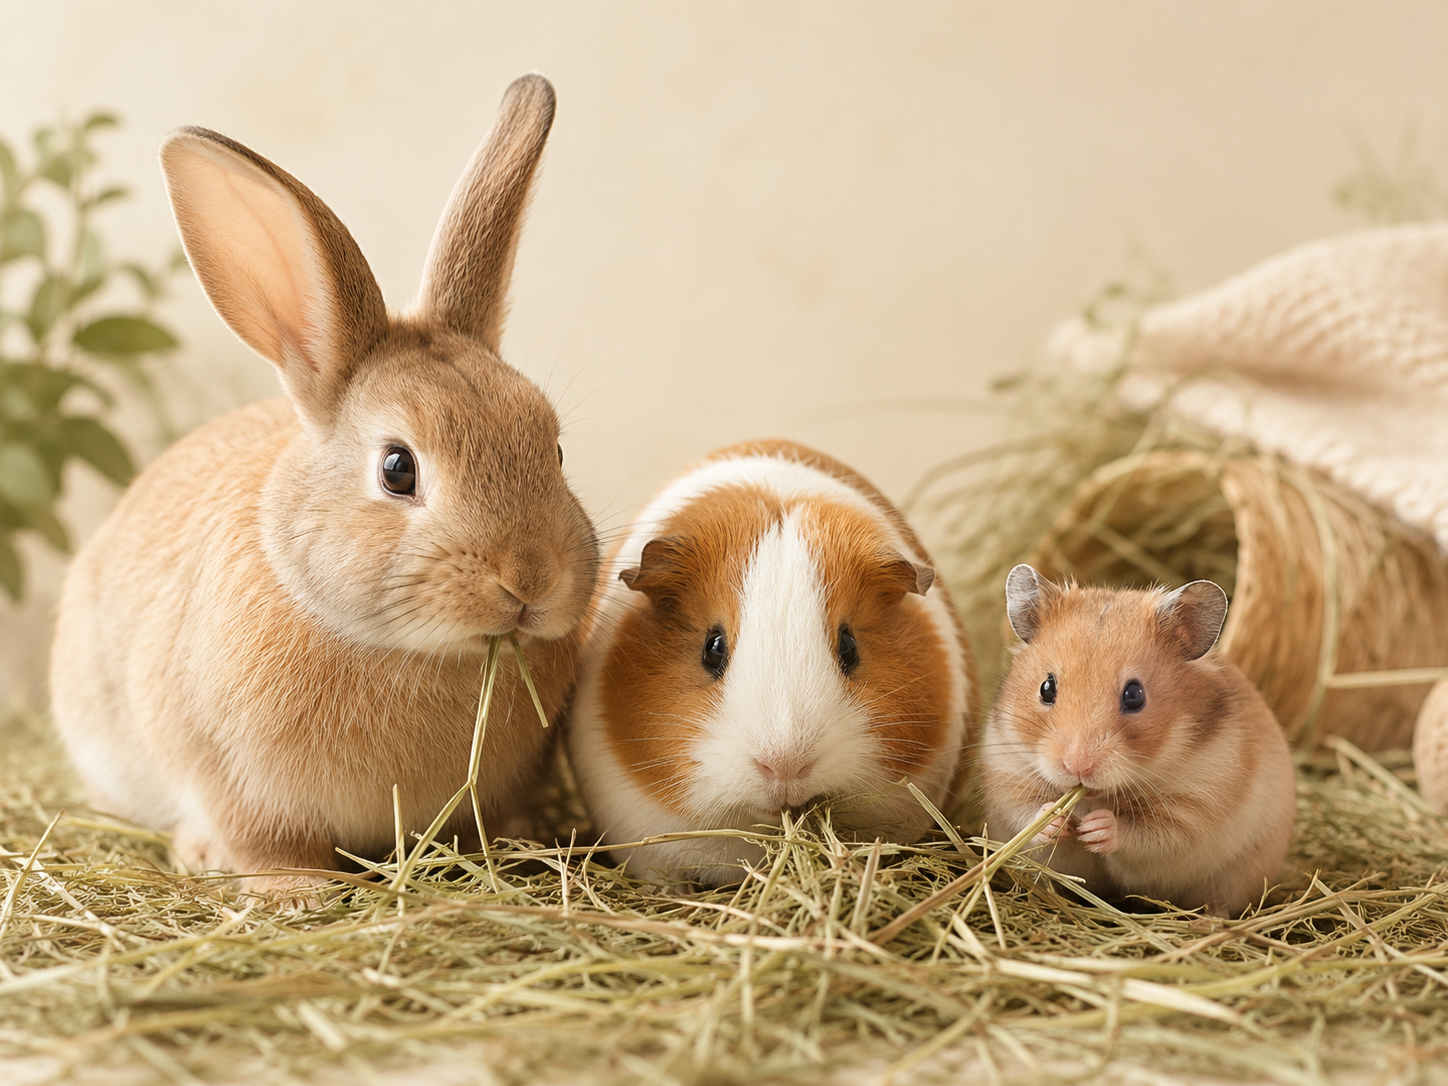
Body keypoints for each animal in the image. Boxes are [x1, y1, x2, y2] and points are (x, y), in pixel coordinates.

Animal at [49, 74, 599, 895]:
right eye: (398, 469)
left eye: (555, 449)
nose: (531, 579)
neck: (405, 652)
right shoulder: (232, 775)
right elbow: (265, 841)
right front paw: (296, 894)